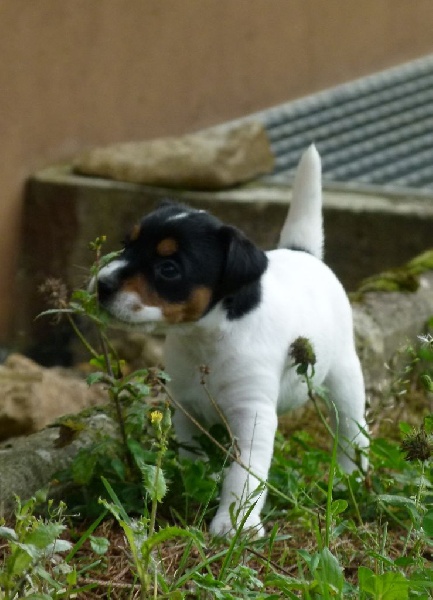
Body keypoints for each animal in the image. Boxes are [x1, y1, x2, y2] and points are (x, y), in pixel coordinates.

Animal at [95, 145, 369, 537]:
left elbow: (243, 477)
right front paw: (196, 485)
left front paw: (235, 524)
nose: (102, 285)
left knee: (351, 432)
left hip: (344, 380)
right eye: (126, 246)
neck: (208, 337)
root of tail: (303, 253)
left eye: (168, 269)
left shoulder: (252, 416)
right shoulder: (186, 408)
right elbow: (191, 456)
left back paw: (350, 479)